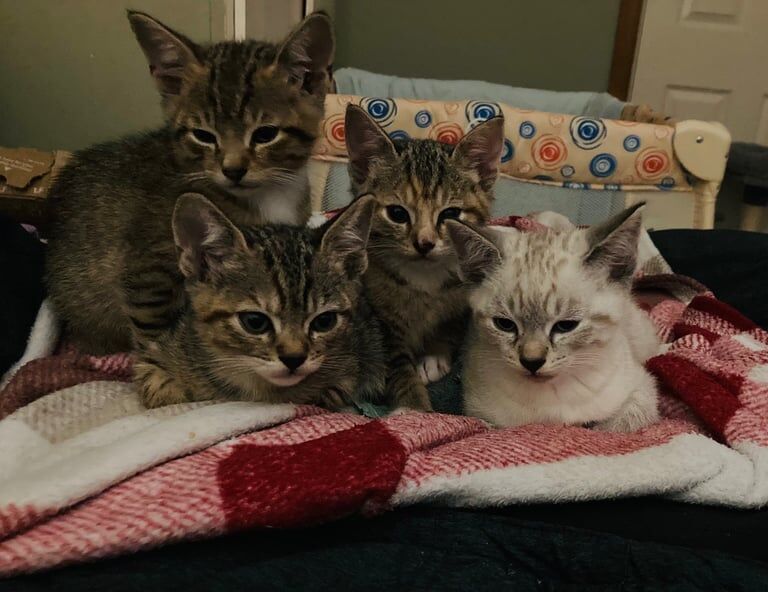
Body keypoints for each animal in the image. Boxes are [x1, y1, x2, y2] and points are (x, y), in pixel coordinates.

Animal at [46, 10, 334, 360]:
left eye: (266, 134)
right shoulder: (149, 273)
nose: (233, 170)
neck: (267, 194)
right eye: (203, 136)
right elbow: (155, 333)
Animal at [137, 193, 384, 408]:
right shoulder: (153, 355)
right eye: (255, 322)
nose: (294, 359)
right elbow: (158, 388)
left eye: (325, 321)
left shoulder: (358, 363)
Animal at [344, 105, 504, 412]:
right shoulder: (382, 324)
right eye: (397, 213)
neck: (425, 278)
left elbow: (450, 325)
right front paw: (414, 408)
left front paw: (434, 355)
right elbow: (397, 369)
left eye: (450, 214)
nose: (425, 243)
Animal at [450, 204, 660, 430]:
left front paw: (598, 427)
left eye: (566, 326)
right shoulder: (482, 415)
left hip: (641, 338)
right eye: (505, 324)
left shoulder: (641, 385)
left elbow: (620, 424)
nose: (532, 362)